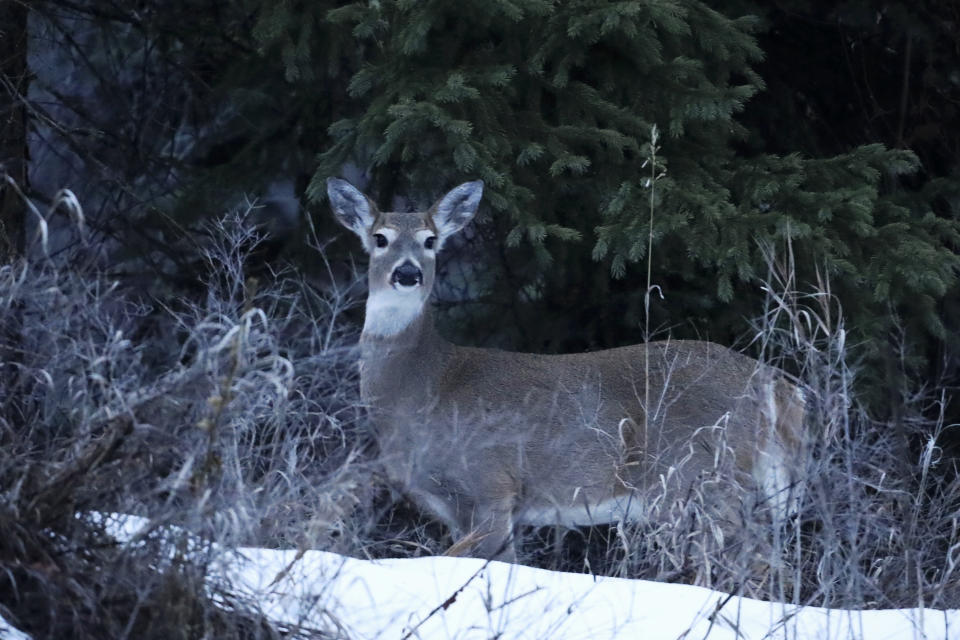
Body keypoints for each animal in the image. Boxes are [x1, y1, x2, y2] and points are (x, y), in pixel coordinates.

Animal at [326, 178, 808, 564]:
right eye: (380, 238)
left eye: (430, 240)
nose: (407, 273)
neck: (426, 384)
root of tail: (775, 384)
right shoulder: (459, 509)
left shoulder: (491, 486)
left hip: (698, 474)